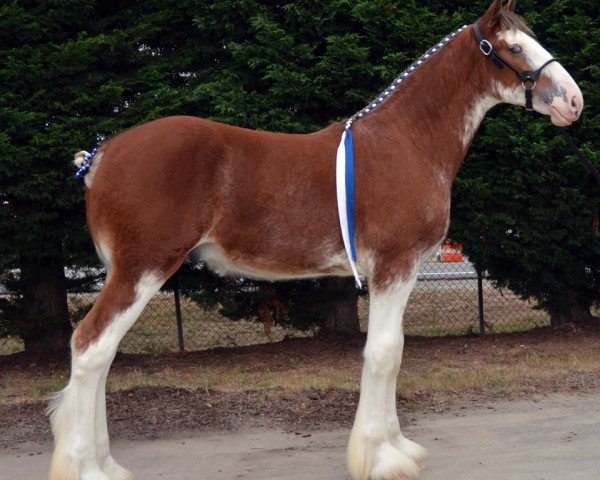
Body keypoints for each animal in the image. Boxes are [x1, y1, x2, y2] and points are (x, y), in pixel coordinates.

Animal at [50, 0, 580, 480]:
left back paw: (106, 464)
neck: (408, 141)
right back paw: (88, 469)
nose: (573, 101)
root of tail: (103, 154)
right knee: (91, 347)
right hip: (142, 269)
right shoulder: (395, 265)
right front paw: (382, 460)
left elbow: (393, 352)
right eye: (514, 47)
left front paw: (397, 448)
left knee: (102, 355)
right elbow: (384, 353)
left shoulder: (399, 272)